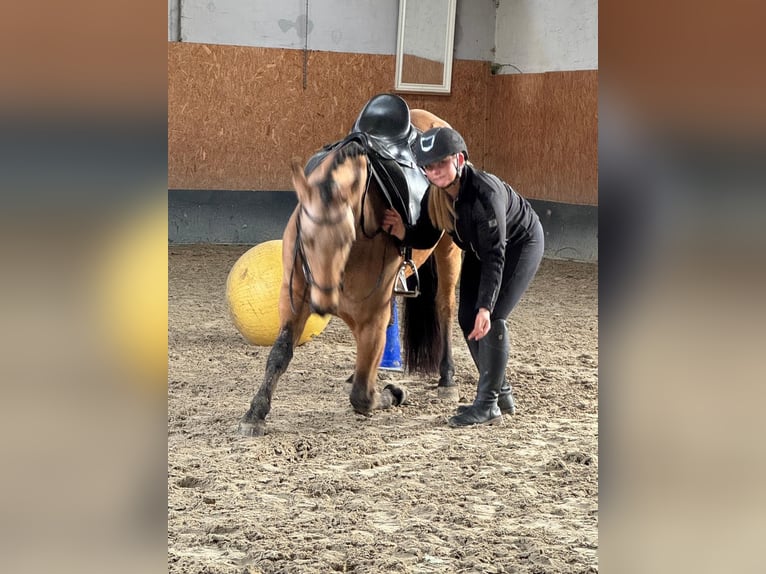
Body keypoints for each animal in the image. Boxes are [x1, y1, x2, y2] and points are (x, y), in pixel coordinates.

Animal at [238, 97, 462, 437]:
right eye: (305, 236)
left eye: (347, 239)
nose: (322, 302)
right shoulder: (294, 298)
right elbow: (279, 353)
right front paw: (256, 412)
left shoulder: (371, 313)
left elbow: (362, 396)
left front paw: (393, 392)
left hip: (449, 251)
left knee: (445, 307)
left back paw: (446, 378)